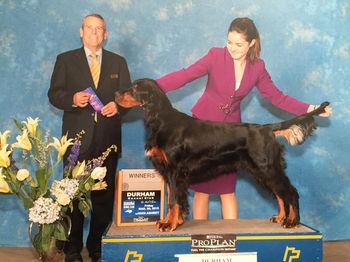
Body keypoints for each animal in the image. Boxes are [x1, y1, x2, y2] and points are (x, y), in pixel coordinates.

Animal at [115, 78, 328, 231]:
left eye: (135, 87)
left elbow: (174, 200)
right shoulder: (169, 173)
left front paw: (169, 224)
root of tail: (267, 128)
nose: (116, 93)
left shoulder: (175, 171)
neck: (162, 120)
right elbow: (173, 200)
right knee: (280, 194)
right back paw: (281, 217)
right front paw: (172, 221)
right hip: (261, 171)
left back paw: (293, 221)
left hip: (267, 167)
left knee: (290, 192)